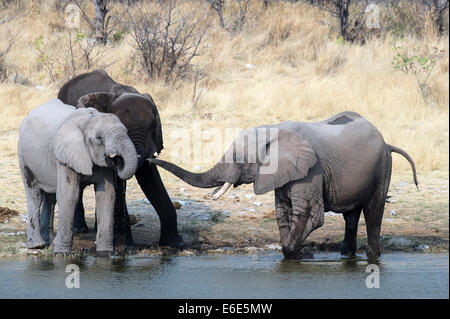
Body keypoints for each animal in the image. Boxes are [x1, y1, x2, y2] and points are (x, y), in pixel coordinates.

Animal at [18, 98, 137, 255]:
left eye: (127, 132)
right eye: (99, 138)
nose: (117, 158)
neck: (88, 119)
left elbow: (106, 196)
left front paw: (104, 253)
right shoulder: (64, 157)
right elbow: (69, 196)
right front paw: (61, 254)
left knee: (50, 198)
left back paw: (49, 243)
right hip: (23, 154)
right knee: (34, 193)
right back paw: (37, 246)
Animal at [149, 112, 418, 260]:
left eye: (238, 159)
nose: (151, 157)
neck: (273, 130)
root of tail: (387, 142)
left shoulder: (311, 169)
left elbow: (310, 214)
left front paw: (294, 255)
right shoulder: (282, 172)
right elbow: (282, 211)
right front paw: (295, 253)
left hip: (382, 167)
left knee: (373, 211)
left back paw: (373, 257)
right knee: (351, 217)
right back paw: (346, 255)